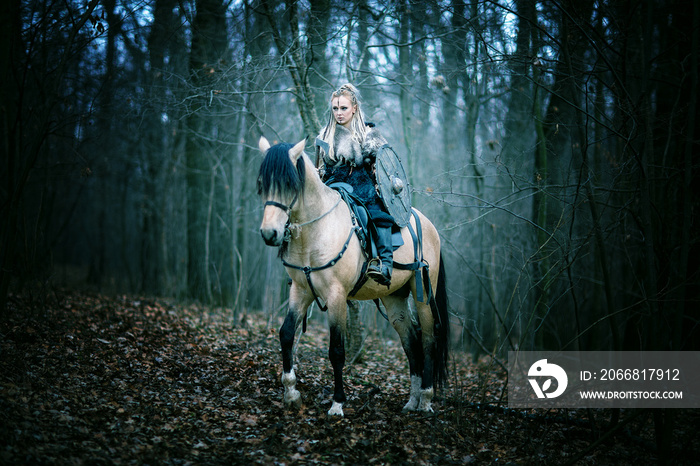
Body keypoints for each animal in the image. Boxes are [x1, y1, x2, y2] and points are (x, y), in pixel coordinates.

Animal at [258, 135, 448, 416]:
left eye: (289, 185)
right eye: (262, 184)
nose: (270, 233)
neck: (316, 231)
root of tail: (427, 224)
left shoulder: (336, 296)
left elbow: (337, 350)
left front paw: (337, 403)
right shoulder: (300, 291)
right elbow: (287, 334)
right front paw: (291, 394)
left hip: (424, 293)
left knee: (428, 339)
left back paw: (425, 399)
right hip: (394, 298)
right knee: (410, 339)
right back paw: (412, 401)